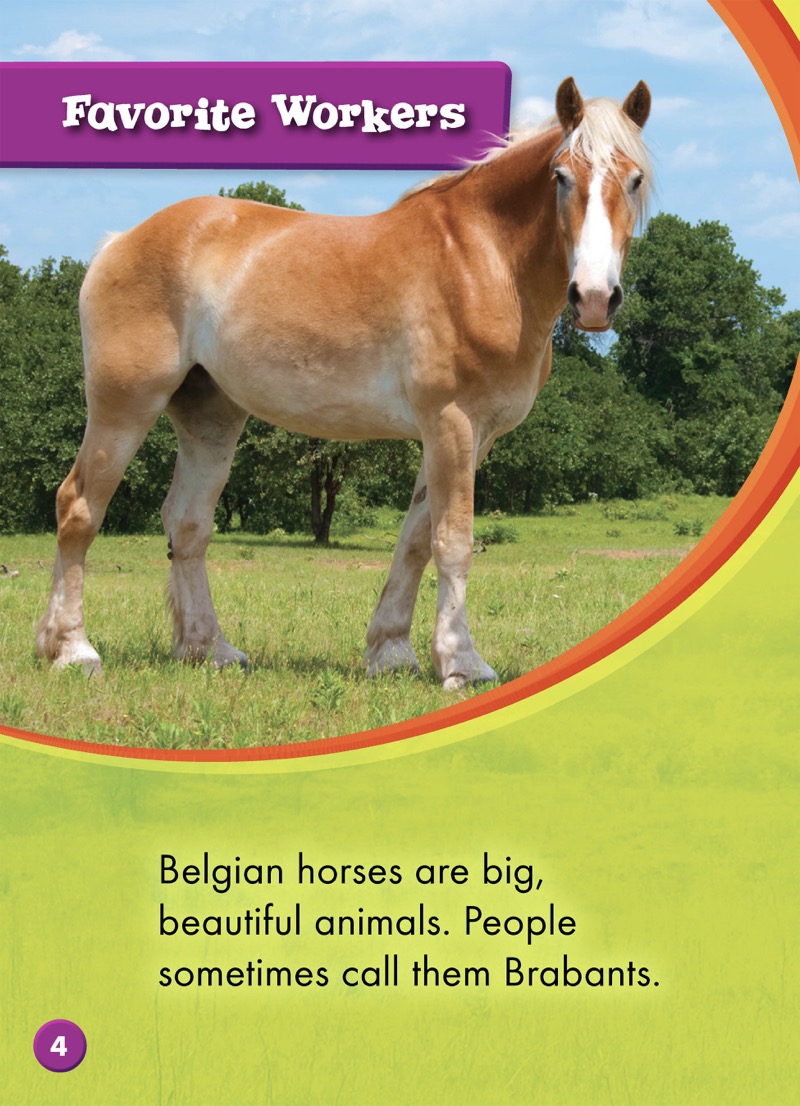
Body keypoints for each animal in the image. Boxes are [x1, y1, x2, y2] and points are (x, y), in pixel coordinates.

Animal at [36, 77, 652, 691]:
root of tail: (119, 242)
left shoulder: (468, 437)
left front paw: (392, 651)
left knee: (187, 525)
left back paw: (209, 648)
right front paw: (461, 663)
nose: (594, 298)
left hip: (210, 415)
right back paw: (72, 649)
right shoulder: (451, 423)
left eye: (634, 179)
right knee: (78, 506)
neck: (482, 259)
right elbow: (452, 543)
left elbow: (414, 541)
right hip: (124, 406)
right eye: (561, 176)